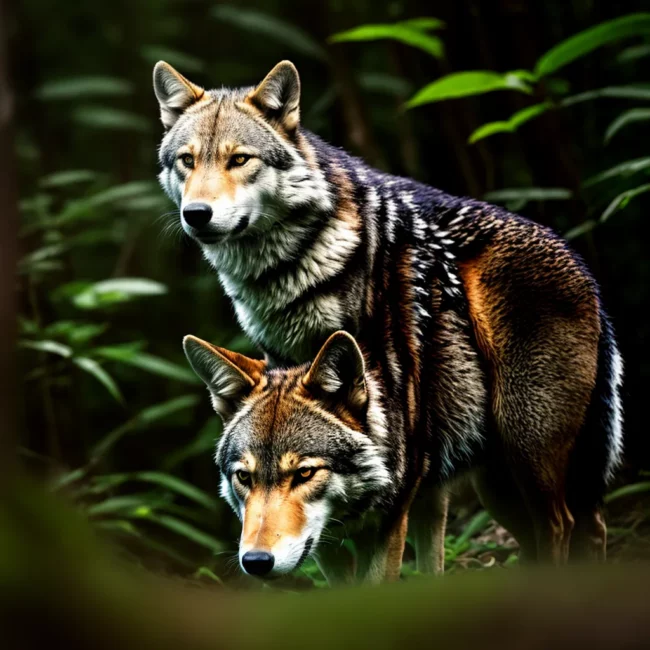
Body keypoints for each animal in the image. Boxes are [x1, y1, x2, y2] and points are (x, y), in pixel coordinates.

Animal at [156, 60, 624, 575]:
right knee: (588, 526)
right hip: (499, 483)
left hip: (526, 455)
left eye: (239, 159)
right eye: (187, 160)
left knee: (562, 524)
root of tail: (585, 272)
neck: (284, 272)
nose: (197, 214)